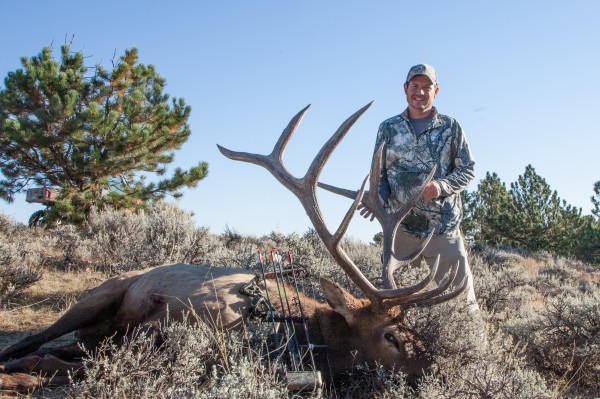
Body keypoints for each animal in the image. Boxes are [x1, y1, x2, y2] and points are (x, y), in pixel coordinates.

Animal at [0, 103, 464, 394]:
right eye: (391, 336)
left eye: (413, 330)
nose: (440, 371)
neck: (297, 329)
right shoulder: (176, 321)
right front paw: (26, 375)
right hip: (94, 297)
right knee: (30, 343)